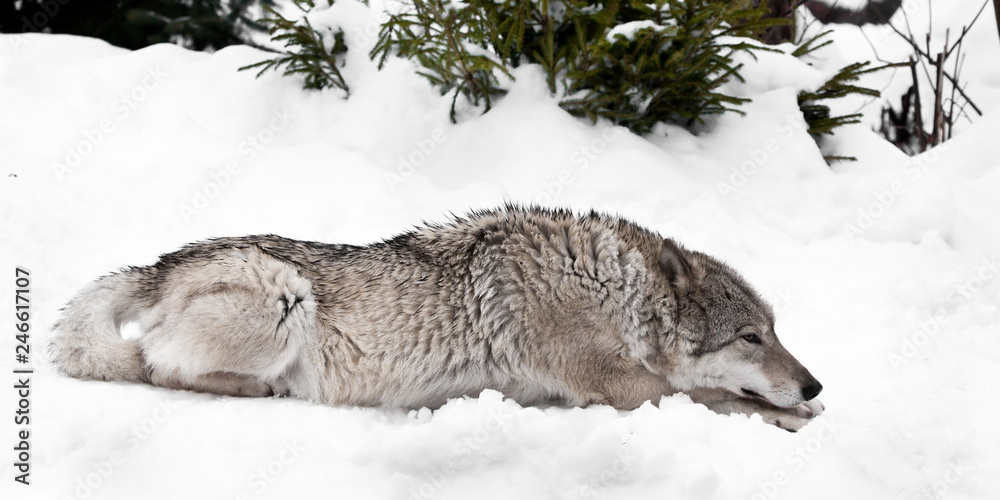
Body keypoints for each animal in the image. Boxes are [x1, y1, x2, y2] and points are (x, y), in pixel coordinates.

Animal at [49, 205, 823, 431]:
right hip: (283, 296)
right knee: (154, 366)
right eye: (751, 337)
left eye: (776, 331)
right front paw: (790, 417)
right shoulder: (626, 389)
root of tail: (163, 262)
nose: (813, 383)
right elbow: (713, 397)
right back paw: (260, 388)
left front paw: (800, 409)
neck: (611, 289)